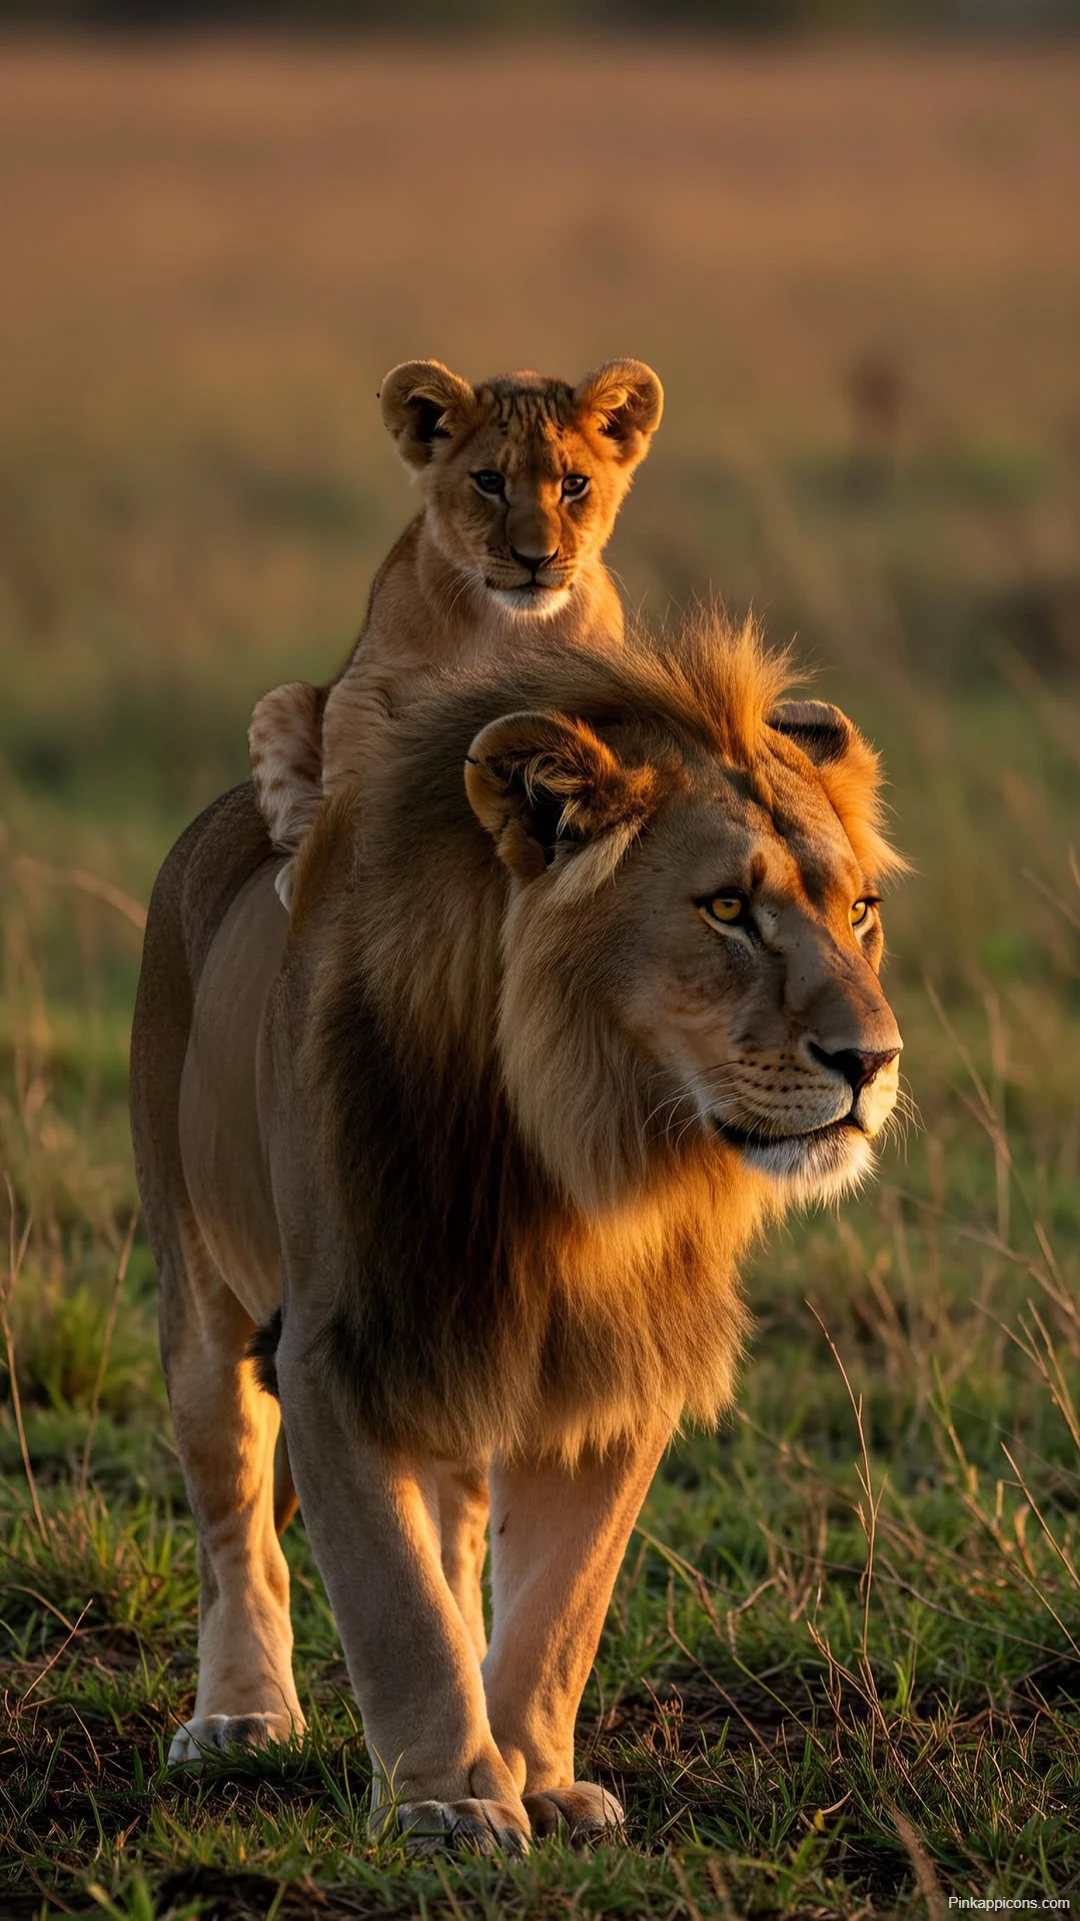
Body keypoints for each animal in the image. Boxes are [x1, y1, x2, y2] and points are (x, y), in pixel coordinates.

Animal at [129, 615, 905, 1856]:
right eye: (726, 909)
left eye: (860, 910)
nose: (873, 1062)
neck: (583, 1157)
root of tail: (222, 814)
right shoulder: (338, 1349)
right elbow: (395, 1603)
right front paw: (450, 1802)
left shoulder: (611, 1372)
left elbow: (556, 1609)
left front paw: (532, 1776)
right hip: (202, 1300)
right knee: (234, 1528)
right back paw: (239, 1717)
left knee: (446, 1529)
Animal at [248, 357, 663, 905]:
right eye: (489, 481)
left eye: (574, 484)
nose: (536, 559)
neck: (507, 623)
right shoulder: (362, 686)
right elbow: (356, 768)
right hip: (283, 700)